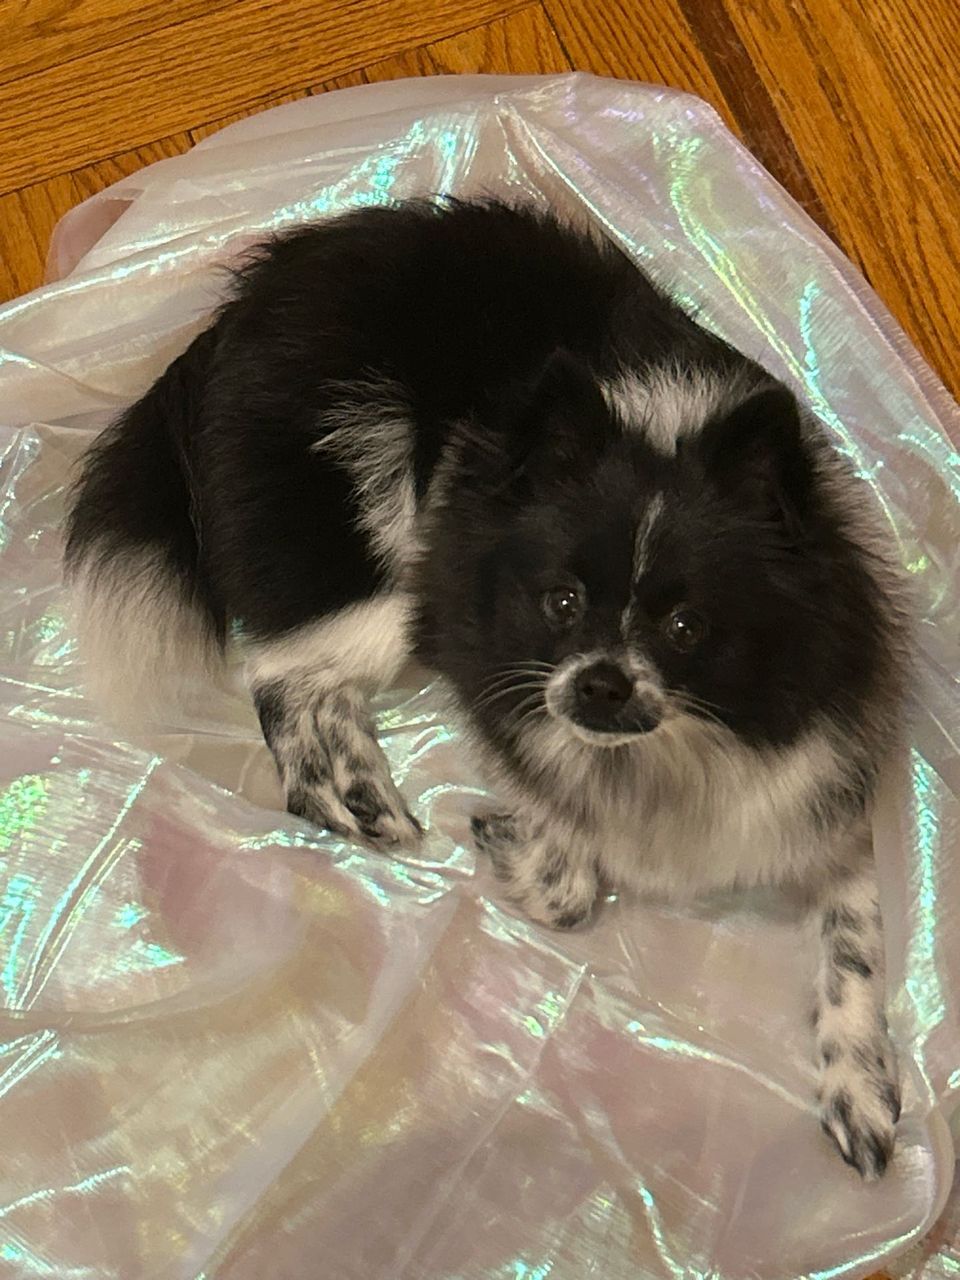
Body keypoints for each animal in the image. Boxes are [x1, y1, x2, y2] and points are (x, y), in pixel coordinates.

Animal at [64, 198, 910, 1178]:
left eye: (687, 628)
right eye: (562, 602)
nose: (601, 686)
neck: (671, 754)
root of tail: (244, 304)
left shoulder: (824, 795)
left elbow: (857, 941)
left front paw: (859, 1086)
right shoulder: (488, 663)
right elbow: (568, 884)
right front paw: (516, 843)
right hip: (378, 565)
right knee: (281, 678)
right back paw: (350, 793)